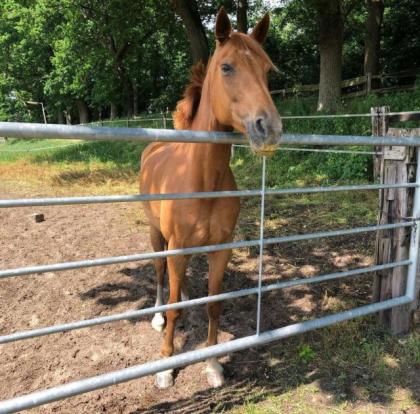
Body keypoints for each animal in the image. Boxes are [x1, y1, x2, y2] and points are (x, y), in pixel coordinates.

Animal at [140, 8, 282, 390]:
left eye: (267, 70)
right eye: (227, 67)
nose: (269, 128)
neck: (202, 180)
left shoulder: (221, 248)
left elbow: (214, 305)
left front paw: (213, 364)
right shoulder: (175, 246)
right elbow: (173, 305)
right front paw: (165, 367)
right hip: (157, 235)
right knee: (160, 273)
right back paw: (157, 317)